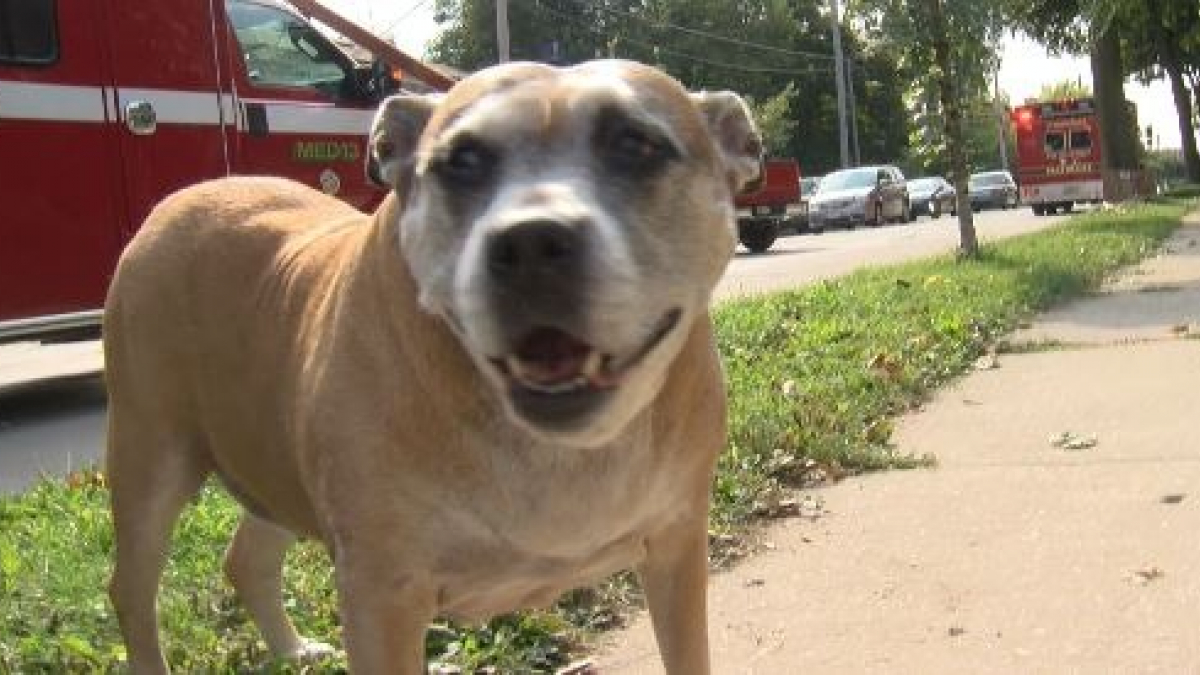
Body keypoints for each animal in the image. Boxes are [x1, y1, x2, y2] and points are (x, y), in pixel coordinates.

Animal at [103, 60, 758, 667]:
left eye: (636, 144)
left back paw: (292, 650)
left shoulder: (677, 547)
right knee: (131, 590)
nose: (529, 243)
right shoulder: (381, 598)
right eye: (462, 161)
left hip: (268, 448)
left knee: (247, 558)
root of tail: (182, 198)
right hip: (149, 454)